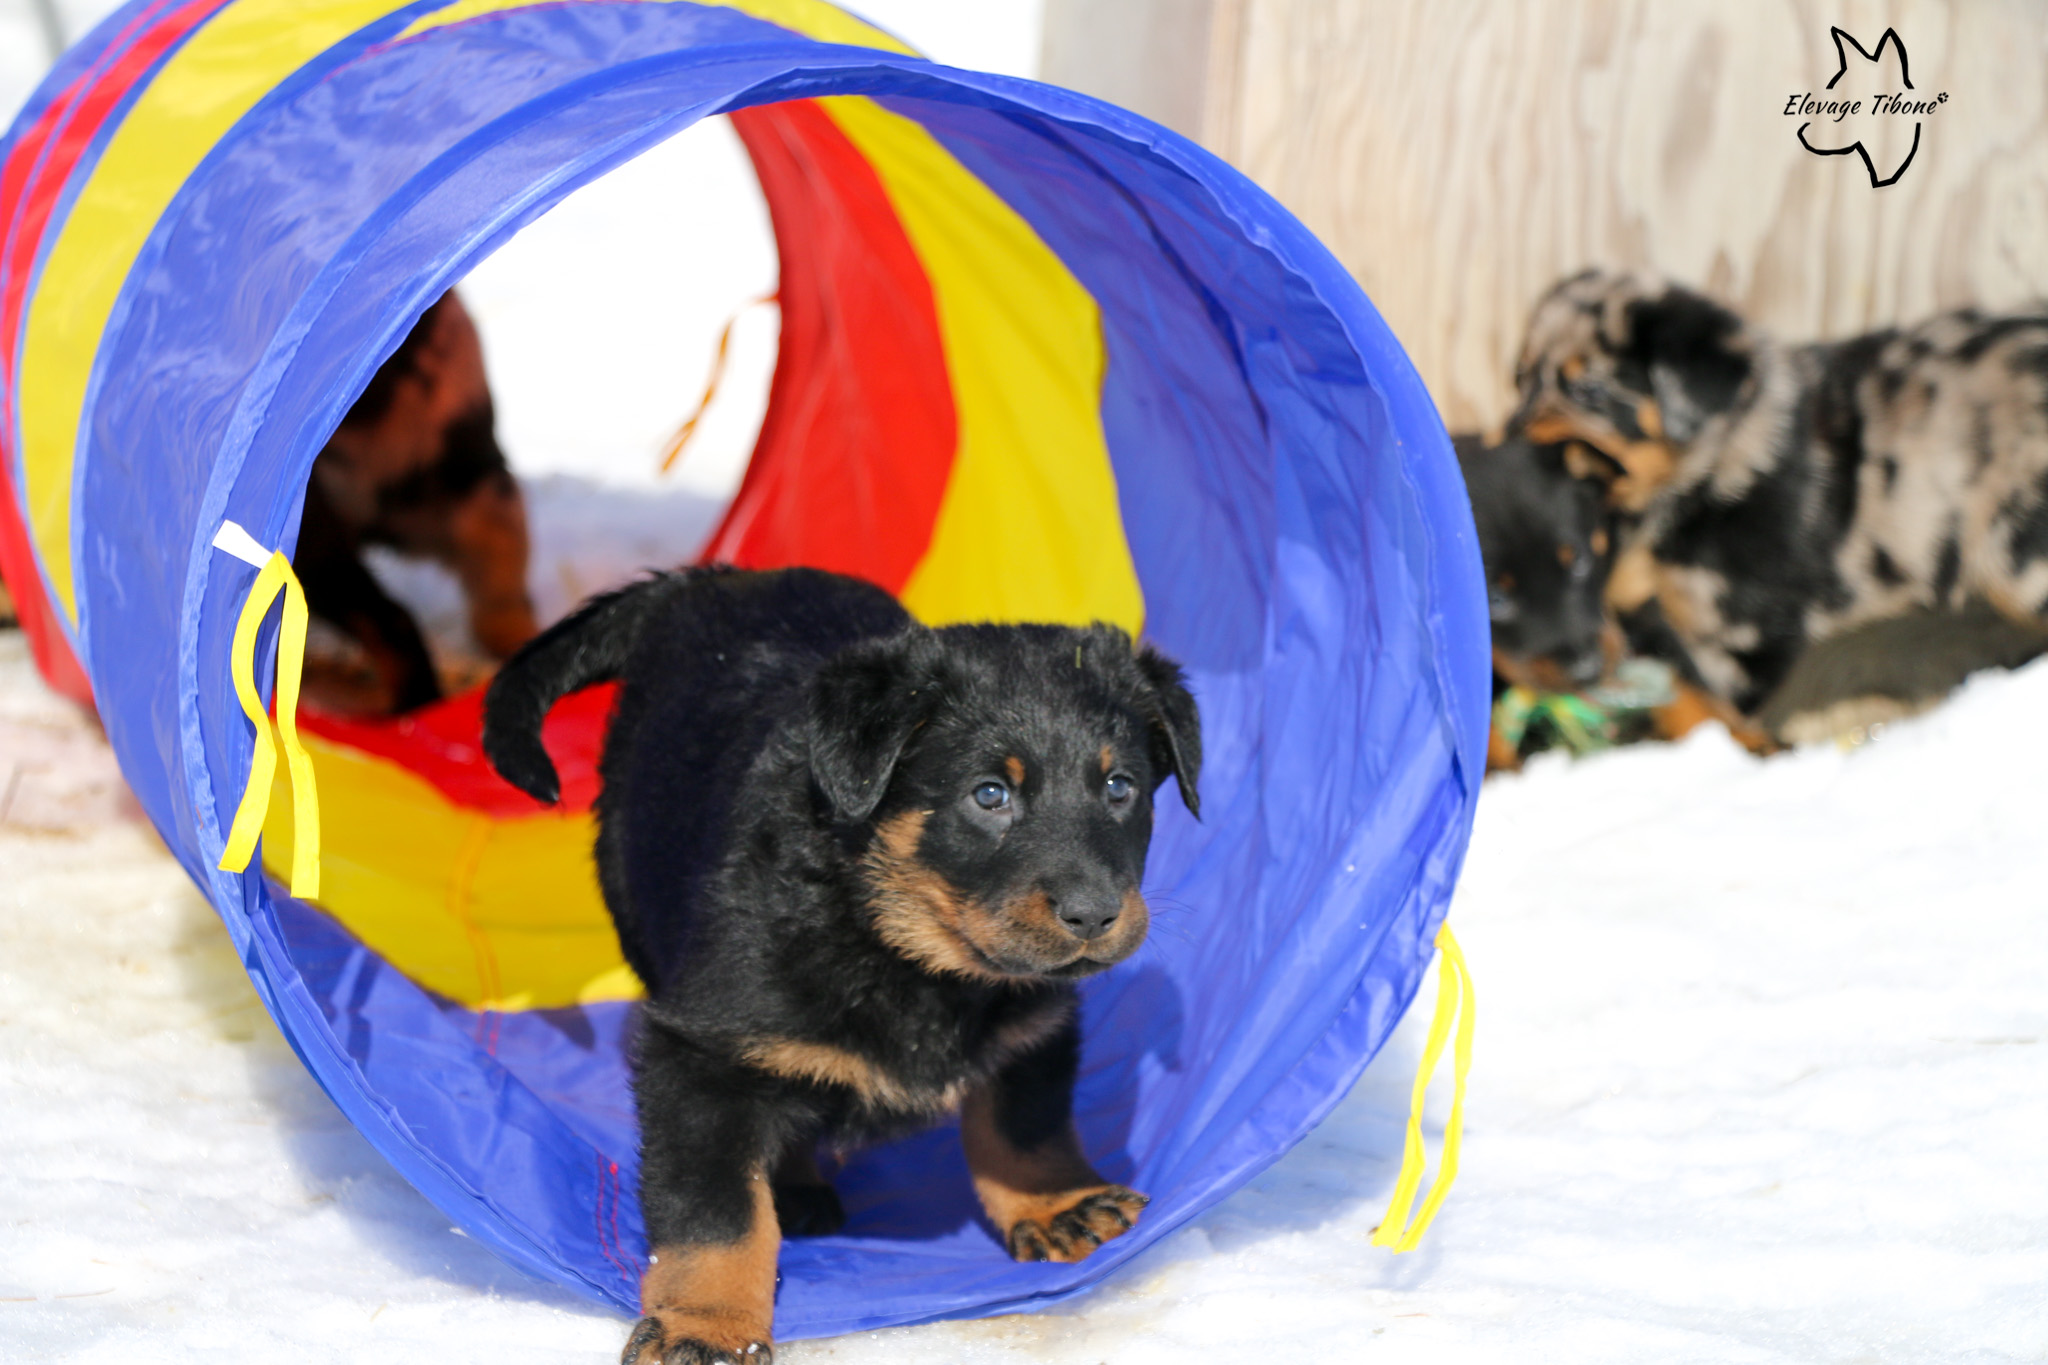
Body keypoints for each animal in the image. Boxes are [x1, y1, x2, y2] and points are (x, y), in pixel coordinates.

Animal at [479, 564, 1196, 1365]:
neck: (902, 944)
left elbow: (1026, 1123)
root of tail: (703, 579)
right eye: (989, 795)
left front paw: (1058, 1203)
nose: (1094, 913)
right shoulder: (697, 1055)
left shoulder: (1032, 1025)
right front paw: (708, 1325)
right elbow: (716, 1211)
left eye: (1119, 787)